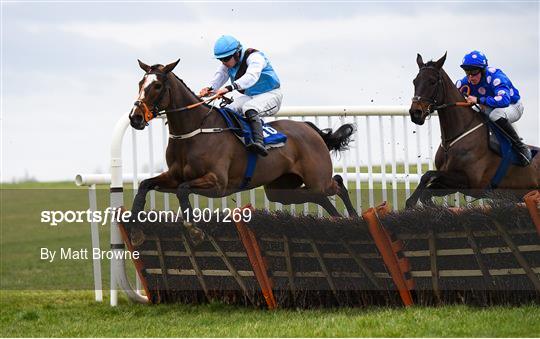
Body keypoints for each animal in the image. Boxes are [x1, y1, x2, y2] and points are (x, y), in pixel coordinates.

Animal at [127, 60, 358, 236]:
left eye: (157, 86)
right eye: (140, 83)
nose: (135, 118)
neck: (194, 131)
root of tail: (309, 128)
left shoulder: (218, 183)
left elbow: (183, 190)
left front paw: (193, 228)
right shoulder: (174, 177)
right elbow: (145, 185)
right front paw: (133, 227)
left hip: (317, 179)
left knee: (337, 183)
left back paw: (354, 217)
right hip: (281, 190)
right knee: (317, 196)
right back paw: (339, 219)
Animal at [408, 53, 536, 209]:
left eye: (432, 81)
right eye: (415, 81)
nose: (415, 113)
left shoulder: (469, 180)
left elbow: (428, 174)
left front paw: (411, 202)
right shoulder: (450, 183)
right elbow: (427, 190)